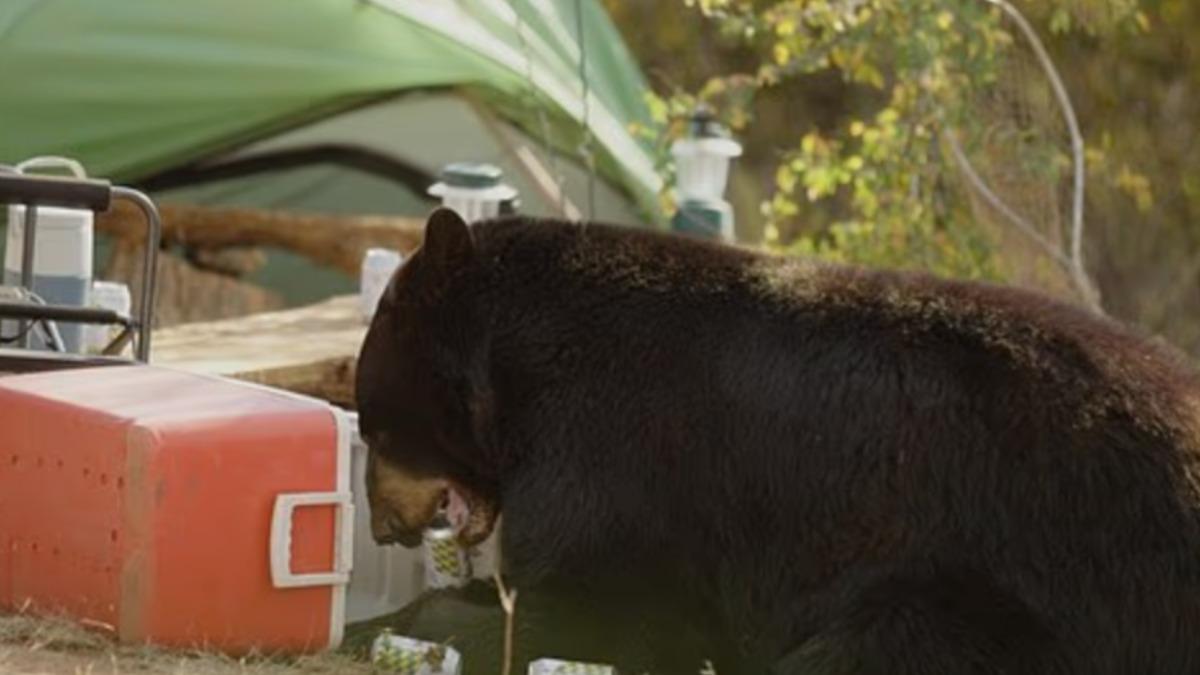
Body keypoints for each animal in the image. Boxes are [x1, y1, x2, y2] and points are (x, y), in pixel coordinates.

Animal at [354, 206, 1200, 675]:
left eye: (373, 423)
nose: (383, 527)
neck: (518, 369)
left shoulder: (615, 456)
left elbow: (590, 597)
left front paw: (414, 622)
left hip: (1028, 588)